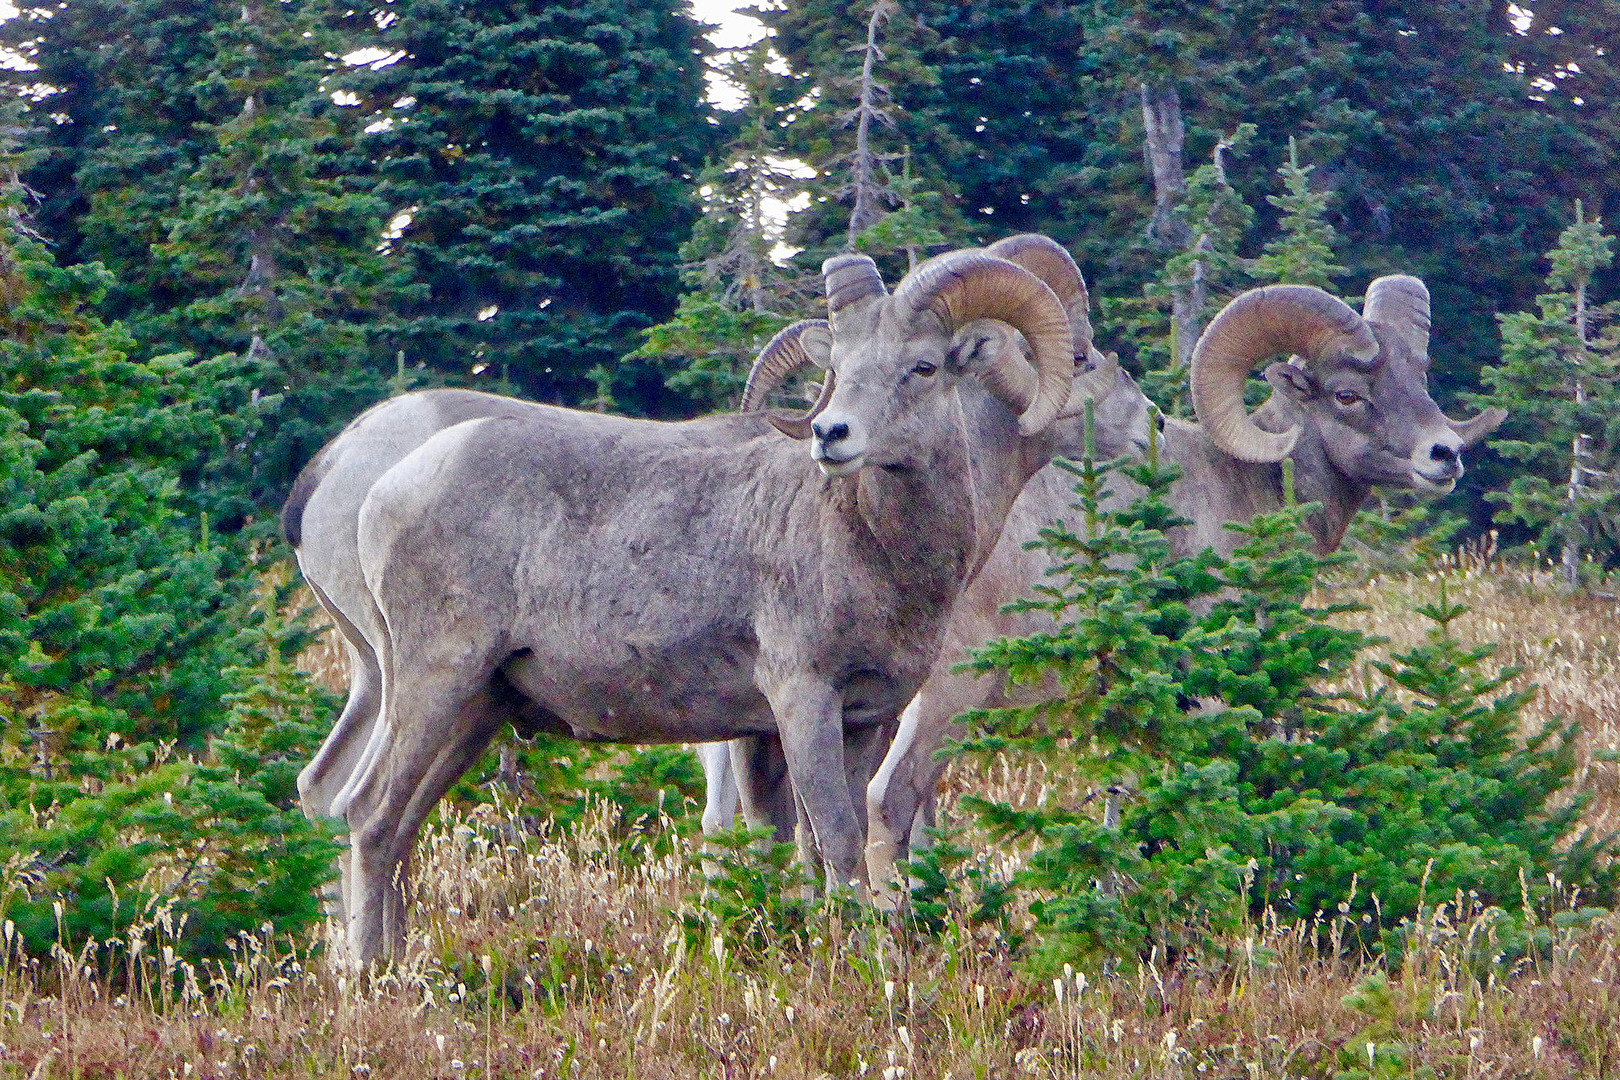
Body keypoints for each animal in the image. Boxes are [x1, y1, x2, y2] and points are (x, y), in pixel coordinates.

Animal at [304, 238, 1114, 965]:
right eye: (841, 369)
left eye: (922, 367)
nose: (832, 435)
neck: (871, 546)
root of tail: (380, 491)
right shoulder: (802, 702)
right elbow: (835, 839)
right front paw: (859, 969)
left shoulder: (864, 717)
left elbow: (816, 843)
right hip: (434, 683)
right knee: (369, 816)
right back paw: (373, 978)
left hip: (477, 707)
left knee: (397, 821)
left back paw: (400, 966)